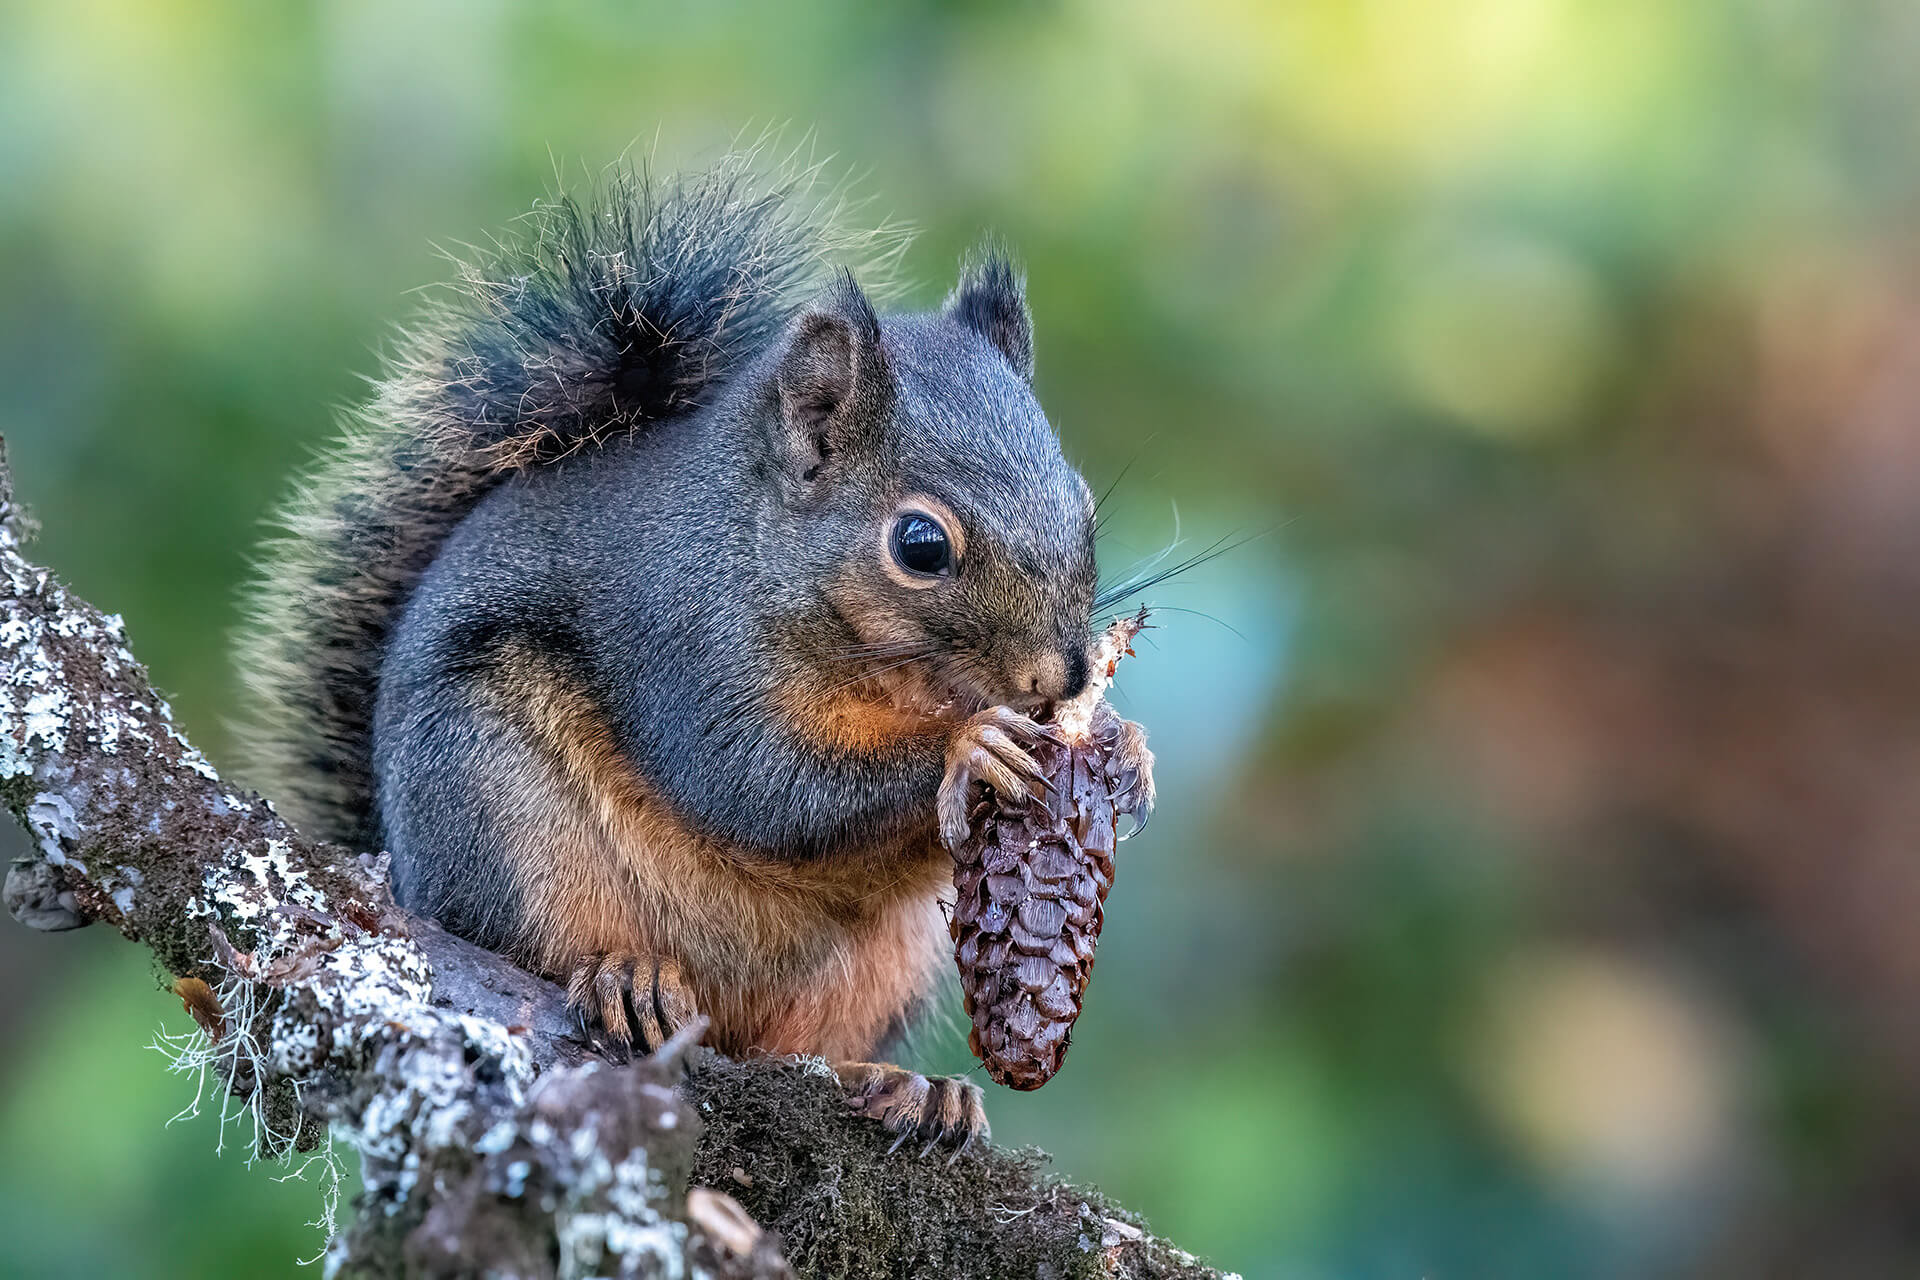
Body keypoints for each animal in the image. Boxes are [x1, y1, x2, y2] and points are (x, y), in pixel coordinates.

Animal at [232, 155, 1144, 1159]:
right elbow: (757, 787)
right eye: (920, 545)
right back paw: (623, 976)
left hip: (884, 966)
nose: (1059, 678)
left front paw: (1128, 750)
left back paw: (903, 1086)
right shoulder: (682, 643)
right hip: (490, 806)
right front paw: (972, 748)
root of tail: (399, 862)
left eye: (1084, 507)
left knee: (797, 1053)